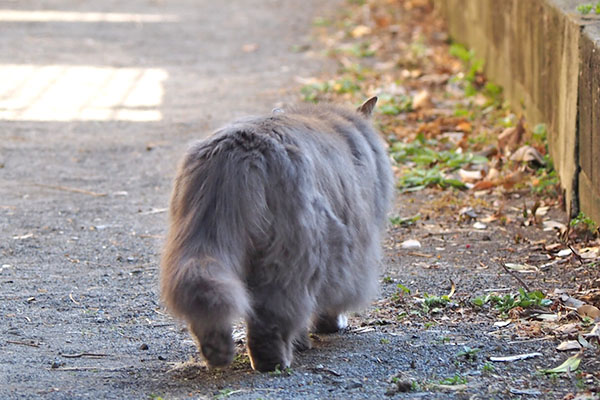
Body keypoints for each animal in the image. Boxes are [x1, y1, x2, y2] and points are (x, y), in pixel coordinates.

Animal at [159, 97, 394, 372]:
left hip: (198, 247)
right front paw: (329, 326)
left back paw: (218, 353)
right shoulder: (352, 248)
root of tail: (236, 153)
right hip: (293, 255)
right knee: (274, 314)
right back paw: (272, 361)